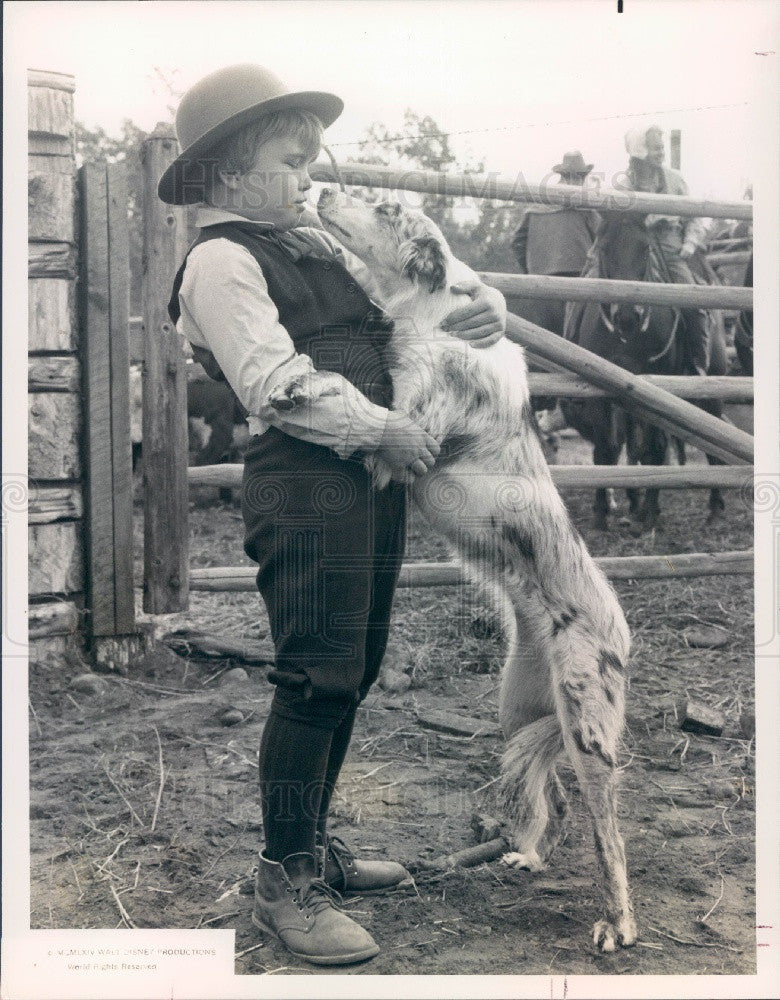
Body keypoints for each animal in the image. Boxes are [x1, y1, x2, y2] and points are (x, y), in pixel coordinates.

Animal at [266, 189, 632, 952]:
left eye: (383, 206)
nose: (320, 190)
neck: (430, 311)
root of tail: (622, 636)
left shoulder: (411, 428)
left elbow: (354, 399)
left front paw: (301, 388)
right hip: (520, 709)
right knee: (549, 794)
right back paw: (527, 856)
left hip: (588, 730)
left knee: (609, 838)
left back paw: (618, 922)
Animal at [564, 215, 728, 536]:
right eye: (604, 248)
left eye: (646, 249)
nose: (628, 316)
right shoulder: (599, 393)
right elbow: (606, 450)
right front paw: (601, 515)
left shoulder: (657, 389)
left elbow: (654, 451)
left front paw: (651, 515)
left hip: (711, 387)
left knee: (712, 446)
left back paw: (715, 510)